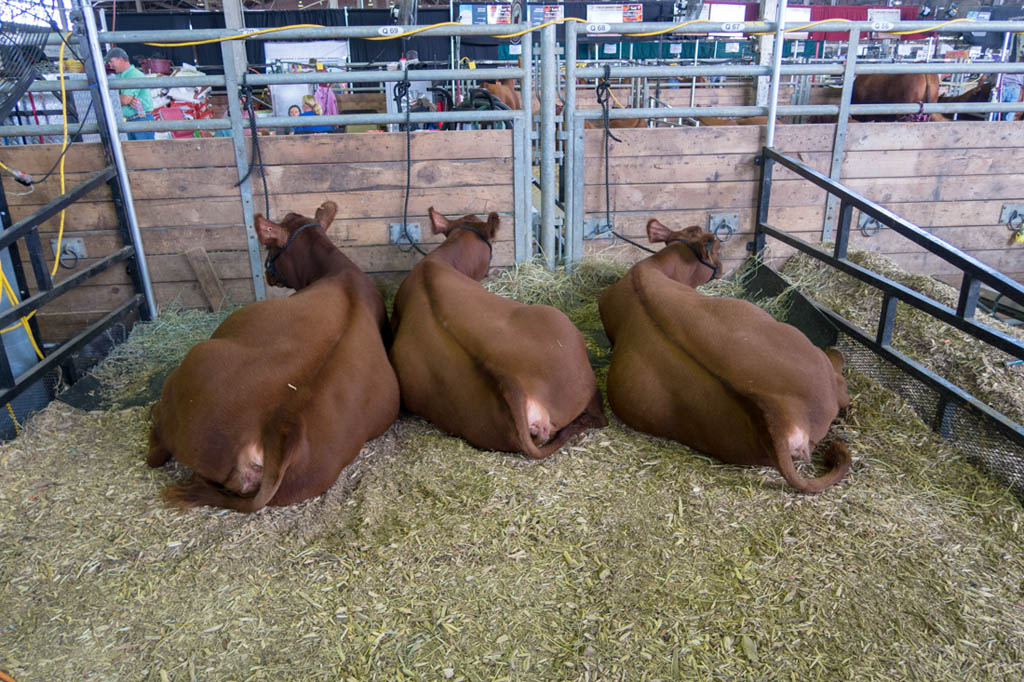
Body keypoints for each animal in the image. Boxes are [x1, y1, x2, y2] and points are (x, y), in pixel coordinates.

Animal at [148, 201, 399, 509]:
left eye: (268, 247)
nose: (268, 273)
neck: (339, 270)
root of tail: (280, 428)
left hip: (196, 363)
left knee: (156, 450)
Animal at [598, 218, 851, 489]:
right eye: (719, 248)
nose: (721, 267)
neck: (650, 270)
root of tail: (777, 410)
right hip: (815, 361)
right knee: (841, 387)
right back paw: (837, 356)